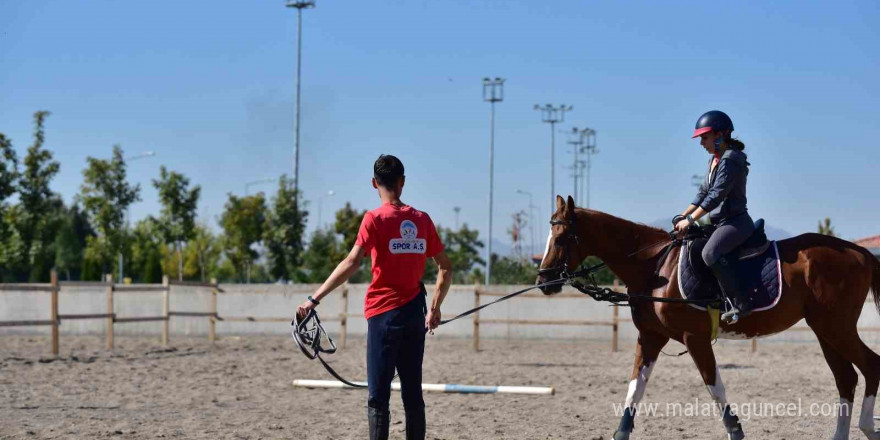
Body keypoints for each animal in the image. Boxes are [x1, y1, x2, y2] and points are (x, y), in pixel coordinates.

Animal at [540, 197, 880, 440]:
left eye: (560, 238)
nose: (544, 281)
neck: (655, 268)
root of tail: (859, 252)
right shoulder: (650, 337)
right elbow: (635, 388)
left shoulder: (695, 338)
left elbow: (714, 386)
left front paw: (736, 431)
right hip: (824, 330)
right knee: (846, 378)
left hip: (836, 328)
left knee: (870, 365)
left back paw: (867, 427)